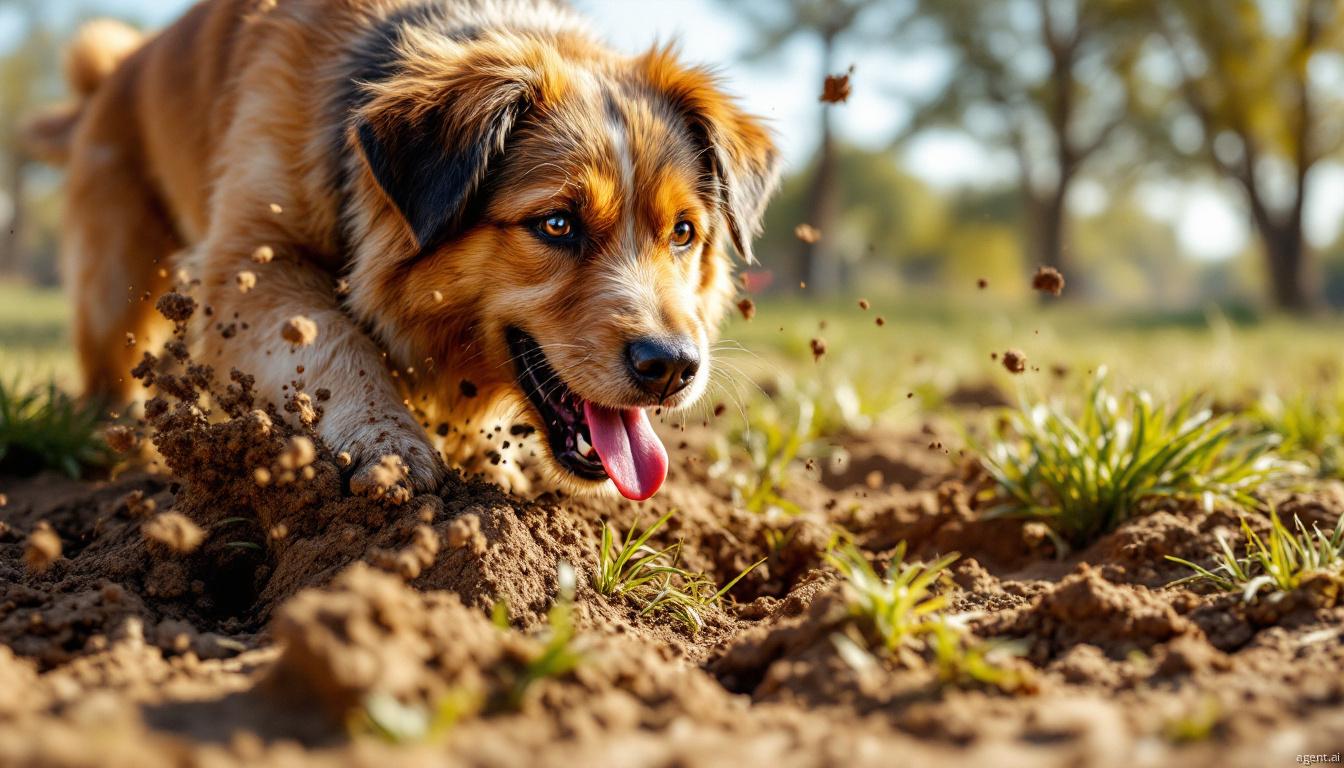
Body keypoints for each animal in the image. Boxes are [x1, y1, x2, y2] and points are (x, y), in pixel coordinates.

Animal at [26, 0, 784, 503]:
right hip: (112, 278)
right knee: (107, 367)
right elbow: (332, 341)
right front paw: (388, 443)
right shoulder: (248, 265)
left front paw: (492, 467)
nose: (673, 367)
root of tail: (113, 74)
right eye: (557, 224)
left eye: (683, 233)